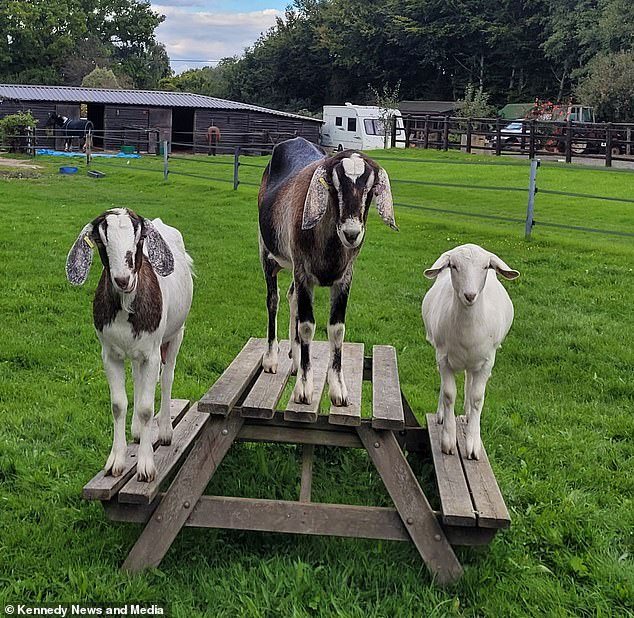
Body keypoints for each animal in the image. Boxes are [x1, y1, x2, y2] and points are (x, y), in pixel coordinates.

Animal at [65, 207, 193, 482]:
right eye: (100, 239)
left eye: (140, 237)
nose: (123, 279)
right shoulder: (109, 354)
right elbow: (117, 405)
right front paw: (116, 460)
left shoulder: (152, 353)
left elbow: (146, 407)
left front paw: (145, 466)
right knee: (137, 378)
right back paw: (135, 430)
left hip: (176, 334)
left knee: (167, 377)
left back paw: (165, 431)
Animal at [256, 135, 396, 404]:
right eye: (334, 186)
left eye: (370, 190)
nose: (351, 233)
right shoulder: (303, 271)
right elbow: (307, 326)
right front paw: (304, 388)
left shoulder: (344, 277)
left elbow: (337, 329)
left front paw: (338, 388)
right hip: (267, 253)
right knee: (273, 300)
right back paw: (271, 359)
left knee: (291, 298)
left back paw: (295, 359)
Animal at [420, 243, 520, 460]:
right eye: (454, 266)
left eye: (486, 267)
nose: (470, 295)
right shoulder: (443, 358)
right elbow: (449, 394)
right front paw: (448, 442)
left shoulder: (487, 362)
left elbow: (477, 397)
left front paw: (473, 445)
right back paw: (442, 415)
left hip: (475, 361)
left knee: (469, 379)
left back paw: (466, 415)